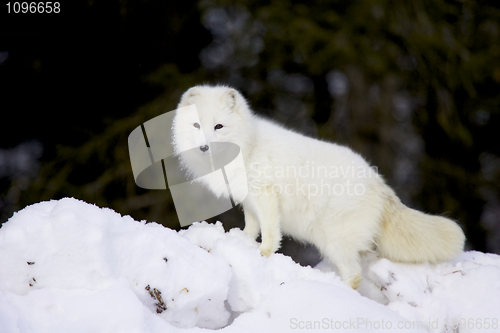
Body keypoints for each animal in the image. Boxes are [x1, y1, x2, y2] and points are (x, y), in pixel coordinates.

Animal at [172, 83, 464, 288]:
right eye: (196, 125)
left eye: (219, 126)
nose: (204, 147)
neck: (248, 145)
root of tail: (380, 184)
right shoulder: (248, 200)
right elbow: (252, 226)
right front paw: (241, 240)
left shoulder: (265, 195)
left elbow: (269, 231)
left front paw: (263, 253)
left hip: (333, 241)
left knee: (355, 276)